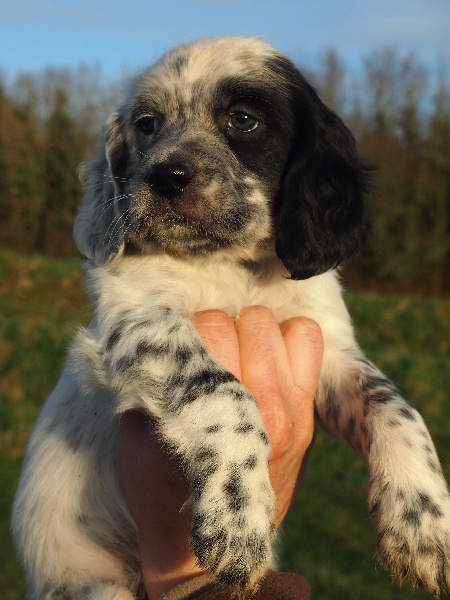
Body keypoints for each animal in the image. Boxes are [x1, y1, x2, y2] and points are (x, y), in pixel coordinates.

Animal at [12, 37, 450, 599]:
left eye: (243, 120)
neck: (228, 267)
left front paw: (423, 521)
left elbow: (395, 405)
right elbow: (223, 389)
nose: (164, 176)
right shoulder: (135, 320)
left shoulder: (328, 347)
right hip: (98, 588)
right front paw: (238, 514)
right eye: (147, 124)